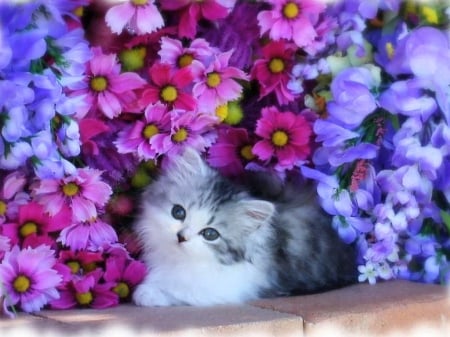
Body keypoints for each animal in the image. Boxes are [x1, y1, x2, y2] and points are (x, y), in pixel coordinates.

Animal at [132, 148, 356, 306]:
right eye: (178, 212)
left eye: (210, 234)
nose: (181, 236)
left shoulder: (227, 288)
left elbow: (185, 291)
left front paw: (148, 293)